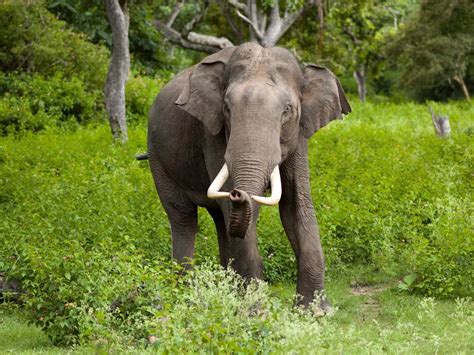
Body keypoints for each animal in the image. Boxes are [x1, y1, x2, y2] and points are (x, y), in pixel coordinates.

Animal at [143, 42, 350, 312]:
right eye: (227, 108)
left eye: (287, 110)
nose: (237, 193)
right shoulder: (213, 133)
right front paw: (255, 311)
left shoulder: (299, 135)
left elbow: (296, 205)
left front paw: (315, 312)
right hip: (157, 157)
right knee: (184, 218)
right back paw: (186, 296)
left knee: (220, 220)